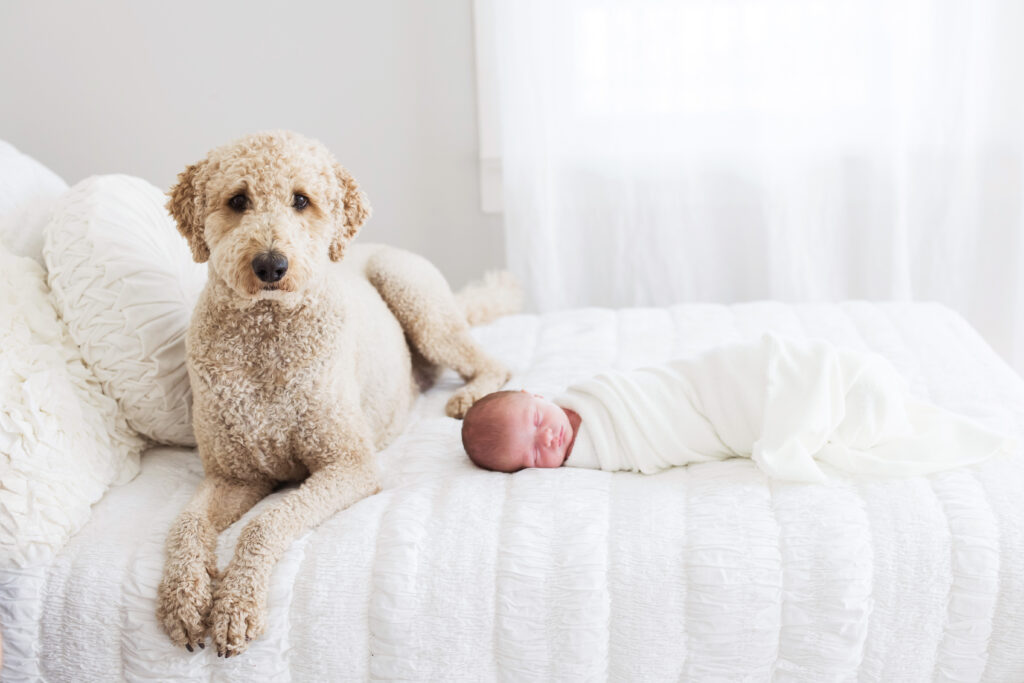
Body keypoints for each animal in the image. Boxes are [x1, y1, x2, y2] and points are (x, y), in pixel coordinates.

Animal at [155, 129, 516, 655]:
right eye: (238, 201)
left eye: (301, 200)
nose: (271, 265)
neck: (267, 335)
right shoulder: (233, 476)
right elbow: (184, 525)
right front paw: (183, 600)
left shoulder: (349, 465)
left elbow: (265, 523)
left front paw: (235, 606)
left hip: (417, 299)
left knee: (490, 362)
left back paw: (469, 397)